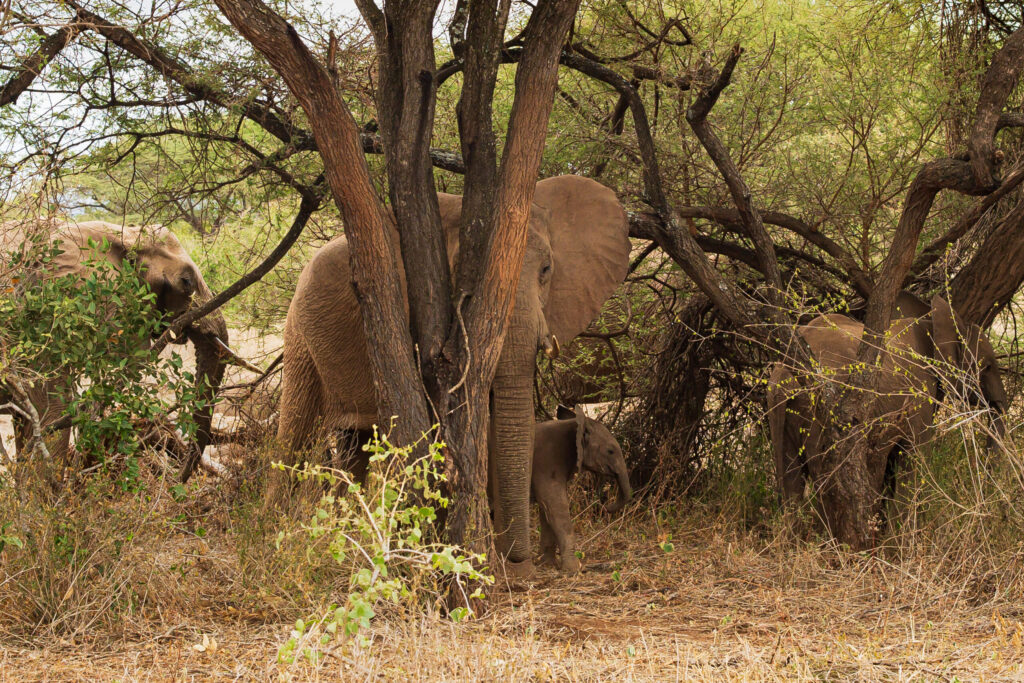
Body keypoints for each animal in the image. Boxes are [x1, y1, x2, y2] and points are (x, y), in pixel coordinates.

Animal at [0, 219, 237, 480]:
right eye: (186, 282)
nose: (177, 477)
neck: (122, 233)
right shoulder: (41, 316)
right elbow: (53, 409)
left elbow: (28, 421)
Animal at [531, 404, 631, 573]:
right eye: (610, 451)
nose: (606, 506)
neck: (574, 425)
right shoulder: (546, 464)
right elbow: (556, 507)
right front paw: (573, 569)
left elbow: (546, 511)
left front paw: (546, 564)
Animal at [767, 293, 1008, 530]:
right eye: (987, 367)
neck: (934, 323)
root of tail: (784, 375)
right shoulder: (920, 395)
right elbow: (914, 458)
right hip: (823, 410)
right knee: (824, 484)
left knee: (790, 481)